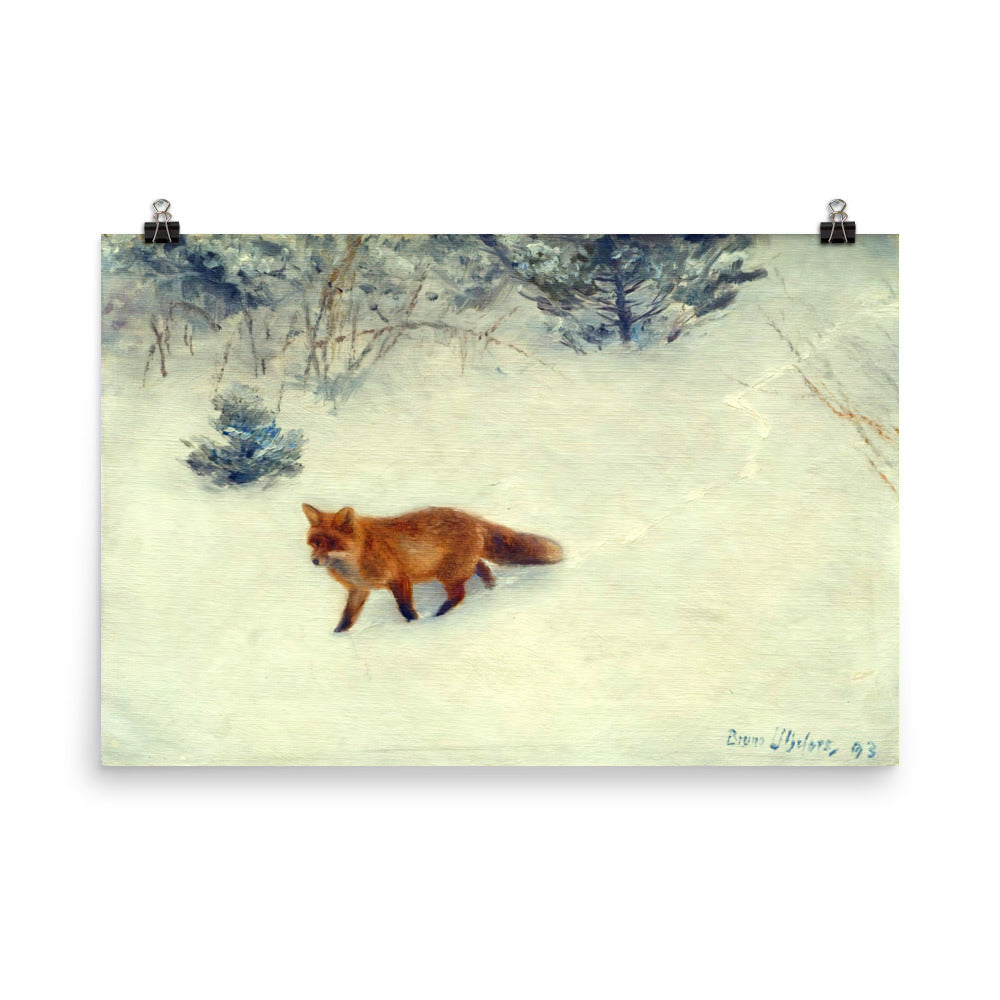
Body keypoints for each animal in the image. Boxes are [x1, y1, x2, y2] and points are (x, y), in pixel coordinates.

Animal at [302, 504, 563, 632]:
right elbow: (346, 619)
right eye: (314, 543)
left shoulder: (399, 579)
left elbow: (406, 610)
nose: (314, 561)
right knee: (482, 567)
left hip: (448, 574)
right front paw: (337, 636)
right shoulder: (358, 590)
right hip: (458, 567)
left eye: (331, 543)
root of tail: (470, 517)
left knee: (459, 594)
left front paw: (416, 627)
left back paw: (439, 616)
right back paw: (491, 589)